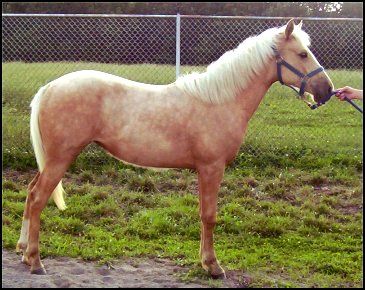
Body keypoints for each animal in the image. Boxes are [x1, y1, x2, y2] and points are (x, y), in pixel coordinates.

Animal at [15, 19, 332, 278]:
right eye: (302, 54)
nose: (327, 91)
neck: (220, 100)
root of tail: (49, 88)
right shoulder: (212, 168)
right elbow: (209, 216)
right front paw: (213, 266)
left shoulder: (205, 170)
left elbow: (203, 214)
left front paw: (205, 262)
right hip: (60, 159)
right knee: (39, 199)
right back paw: (35, 261)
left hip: (51, 160)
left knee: (31, 194)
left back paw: (23, 252)